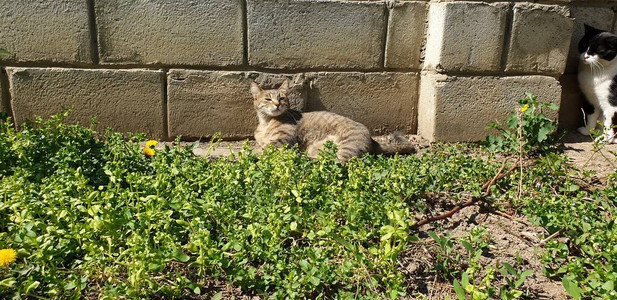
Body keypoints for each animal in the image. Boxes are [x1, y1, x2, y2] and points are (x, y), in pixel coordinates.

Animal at [249, 78, 414, 161]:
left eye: (282, 98)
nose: (277, 105)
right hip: (317, 149)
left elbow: (261, 149)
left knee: (337, 165)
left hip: (347, 147)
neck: (266, 123)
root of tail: (373, 141)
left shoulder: (281, 140)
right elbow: (259, 146)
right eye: (268, 99)